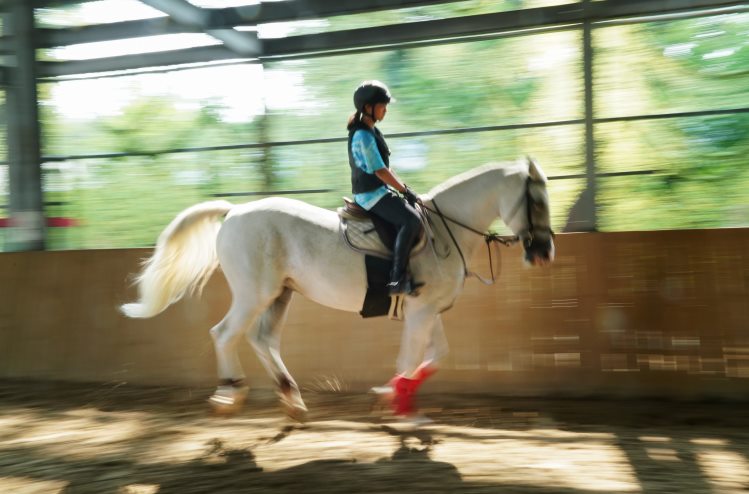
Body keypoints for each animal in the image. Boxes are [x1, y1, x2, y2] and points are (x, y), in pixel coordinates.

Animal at [120, 158, 552, 420]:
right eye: (536, 201)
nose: (544, 252)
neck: (445, 231)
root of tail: (234, 211)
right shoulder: (421, 311)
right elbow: (410, 358)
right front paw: (401, 410)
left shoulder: (426, 310)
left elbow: (435, 357)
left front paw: (391, 396)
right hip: (253, 294)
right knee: (224, 334)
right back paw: (231, 394)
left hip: (280, 294)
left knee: (263, 339)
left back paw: (292, 400)